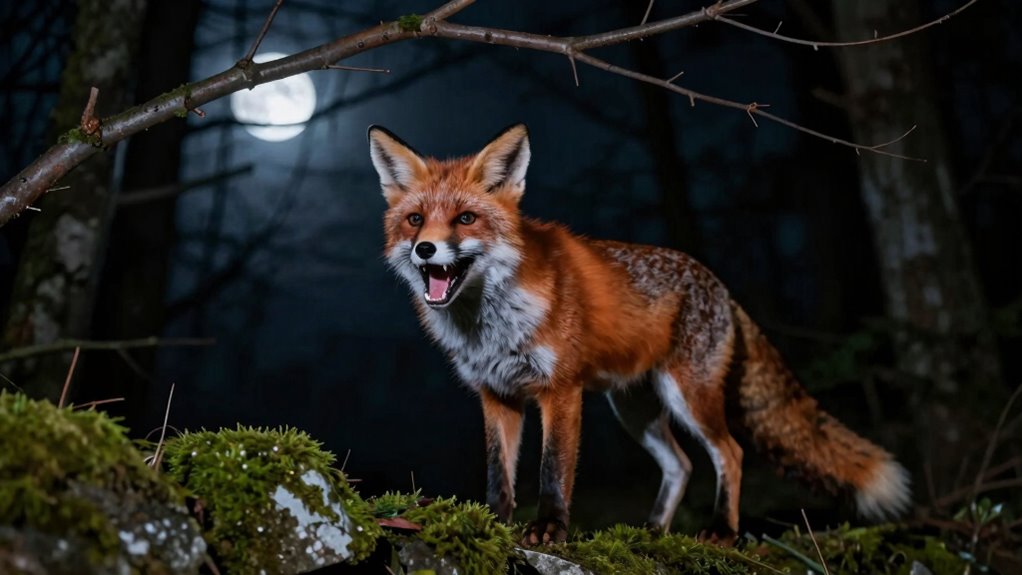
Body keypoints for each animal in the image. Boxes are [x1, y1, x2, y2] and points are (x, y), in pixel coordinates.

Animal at [366, 123, 911, 545]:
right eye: (415, 220)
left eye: (466, 219)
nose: (425, 249)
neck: (489, 326)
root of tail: (721, 286)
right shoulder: (496, 394)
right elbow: (498, 475)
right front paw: (494, 525)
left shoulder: (560, 390)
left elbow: (552, 470)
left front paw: (549, 529)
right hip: (634, 409)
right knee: (681, 465)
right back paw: (652, 530)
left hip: (689, 396)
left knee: (729, 453)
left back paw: (722, 530)